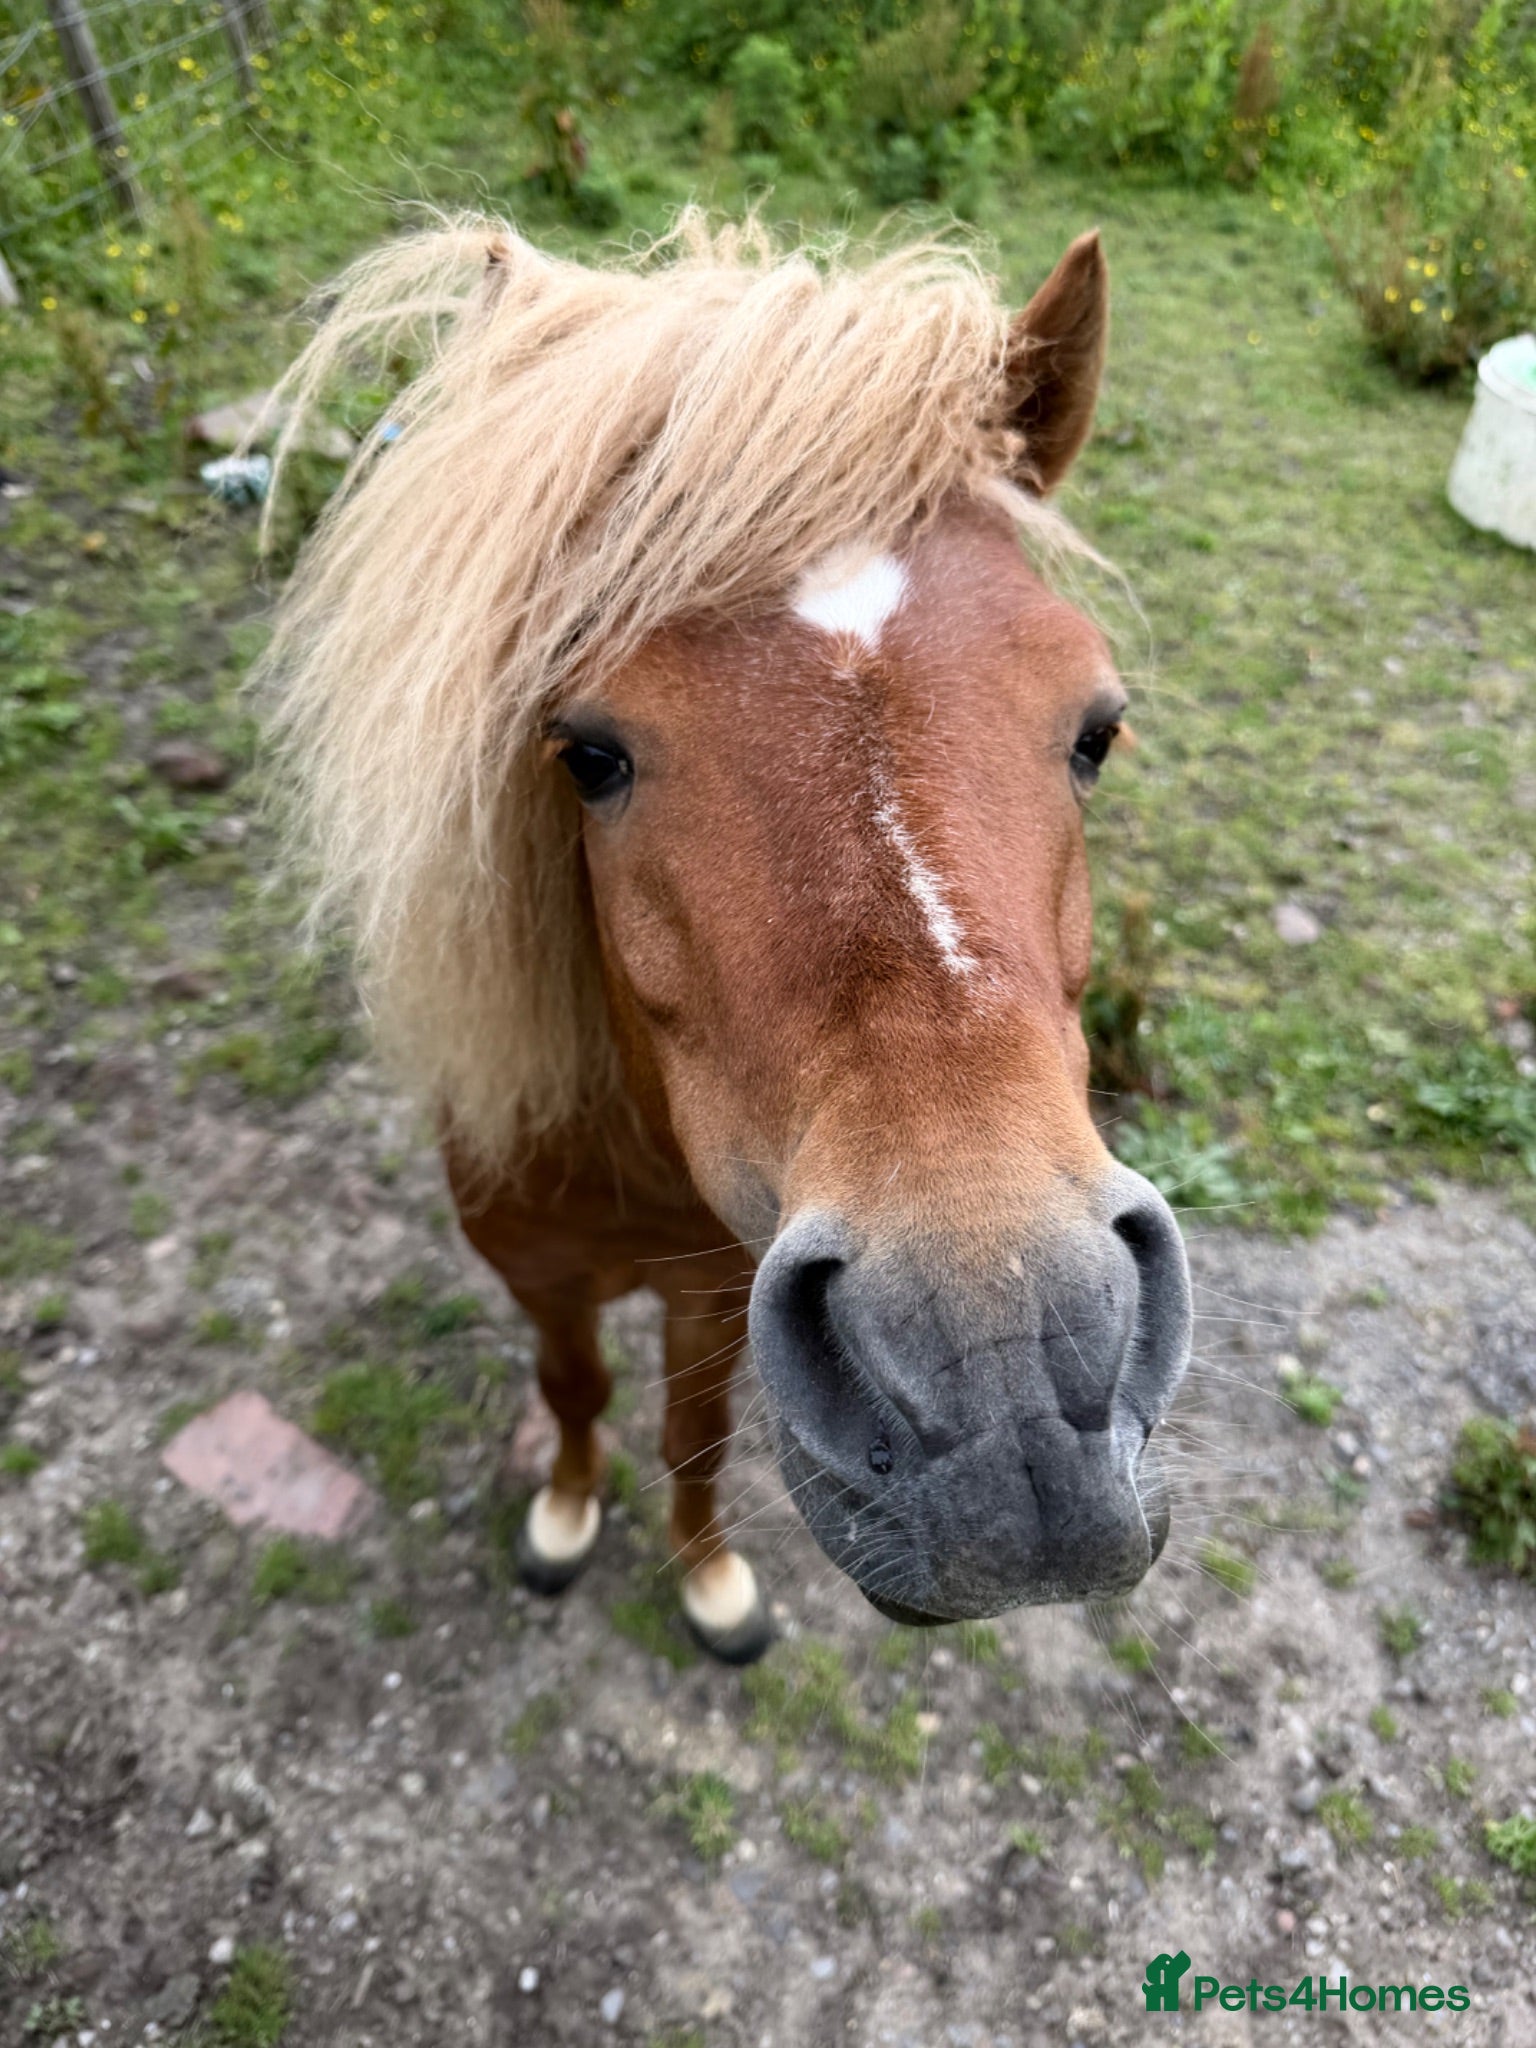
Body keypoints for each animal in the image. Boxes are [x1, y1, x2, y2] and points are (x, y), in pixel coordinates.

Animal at [260, 212, 1192, 1664]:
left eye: (1097, 728)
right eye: (588, 752)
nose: (1009, 1382)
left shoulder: (713, 1291)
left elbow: (691, 1433)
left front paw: (706, 1578)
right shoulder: (543, 1274)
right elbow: (575, 1390)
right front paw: (563, 1519)